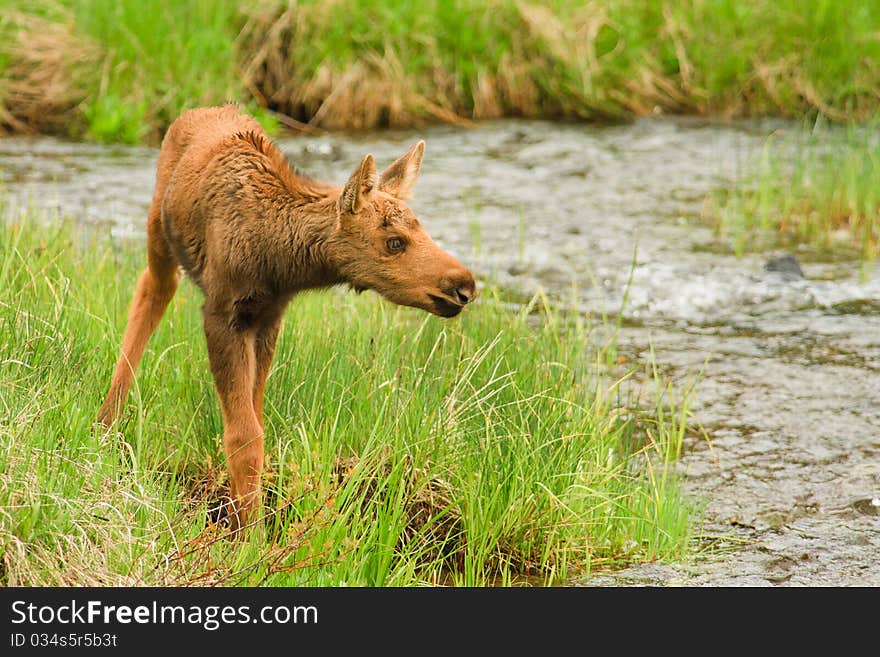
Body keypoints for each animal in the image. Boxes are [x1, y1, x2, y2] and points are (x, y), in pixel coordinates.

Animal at [98, 105, 474, 532]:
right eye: (395, 242)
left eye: (421, 228)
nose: (464, 286)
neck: (279, 261)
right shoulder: (222, 312)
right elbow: (244, 436)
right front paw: (249, 534)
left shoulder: (269, 316)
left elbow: (256, 418)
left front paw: (243, 512)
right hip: (157, 230)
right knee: (152, 289)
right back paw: (108, 417)